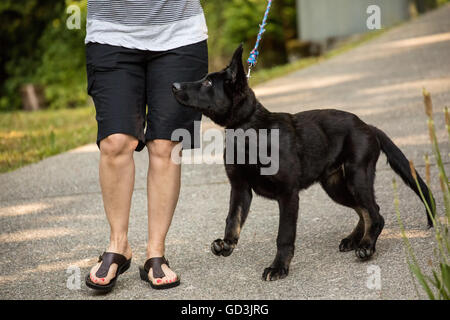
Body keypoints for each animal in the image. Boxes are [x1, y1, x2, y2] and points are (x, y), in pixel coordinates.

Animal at [171, 44, 432, 280]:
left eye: (207, 83)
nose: (173, 86)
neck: (249, 130)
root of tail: (368, 125)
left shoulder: (288, 194)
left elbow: (284, 236)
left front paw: (278, 268)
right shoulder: (240, 188)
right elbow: (232, 219)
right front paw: (227, 244)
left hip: (357, 177)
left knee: (375, 212)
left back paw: (367, 246)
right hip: (335, 186)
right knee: (364, 210)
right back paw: (355, 239)